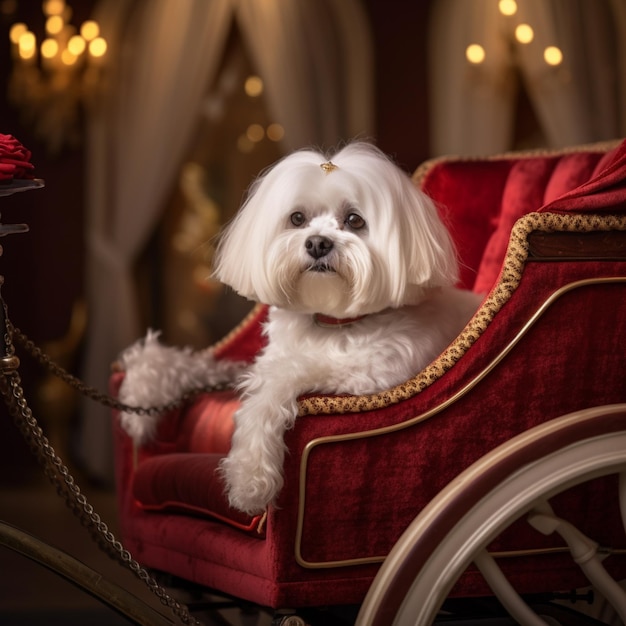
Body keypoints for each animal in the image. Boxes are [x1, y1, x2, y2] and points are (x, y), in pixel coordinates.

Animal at [117, 141, 480, 512]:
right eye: (297, 218)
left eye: (354, 220)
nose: (318, 243)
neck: (333, 322)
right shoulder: (255, 360)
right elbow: (206, 365)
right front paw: (143, 389)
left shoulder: (374, 376)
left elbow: (278, 380)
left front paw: (249, 477)